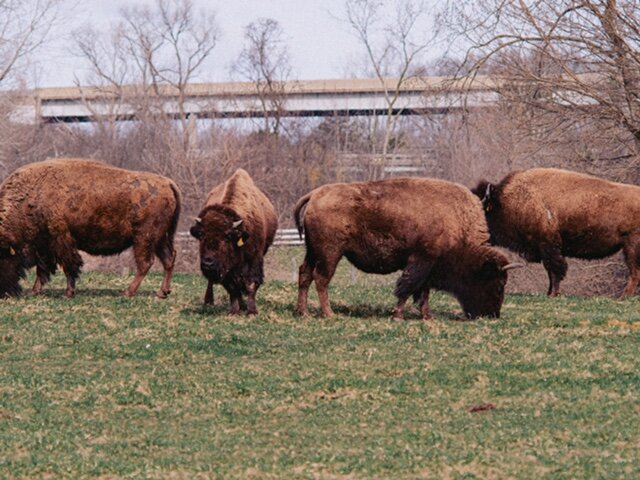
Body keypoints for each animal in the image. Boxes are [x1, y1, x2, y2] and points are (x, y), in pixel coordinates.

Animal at [0, 158, 181, 298]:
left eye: (1, 256)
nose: (4, 294)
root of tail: (168, 183)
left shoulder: (61, 239)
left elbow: (69, 265)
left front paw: (68, 293)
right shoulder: (44, 245)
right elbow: (43, 268)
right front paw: (35, 291)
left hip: (144, 238)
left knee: (145, 263)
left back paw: (128, 293)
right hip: (160, 239)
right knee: (168, 259)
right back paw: (162, 293)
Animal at [190, 169, 277, 314]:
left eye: (227, 236)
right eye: (201, 235)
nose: (208, 262)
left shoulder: (254, 259)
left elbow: (250, 284)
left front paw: (252, 311)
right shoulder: (227, 269)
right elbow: (232, 288)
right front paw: (234, 312)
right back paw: (210, 302)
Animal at [294, 177, 520, 320]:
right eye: (498, 283)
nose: (492, 315)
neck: (457, 220)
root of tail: (315, 194)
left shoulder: (428, 267)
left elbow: (422, 293)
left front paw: (428, 316)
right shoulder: (420, 262)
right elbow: (407, 288)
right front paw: (398, 317)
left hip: (312, 252)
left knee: (305, 275)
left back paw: (304, 313)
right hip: (330, 253)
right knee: (321, 279)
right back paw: (329, 314)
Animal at [473, 167, 640, 297]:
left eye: (481, 213)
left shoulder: (549, 246)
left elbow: (555, 270)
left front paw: (554, 294)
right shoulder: (545, 248)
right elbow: (550, 271)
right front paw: (549, 293)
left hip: (631, 246)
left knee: (634, 272)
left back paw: (623, 297)